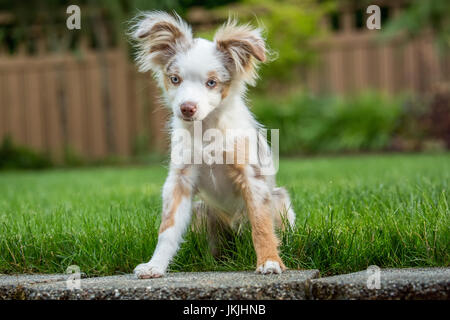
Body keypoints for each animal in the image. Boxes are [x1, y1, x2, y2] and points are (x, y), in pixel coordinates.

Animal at [129, 11, 296, 278]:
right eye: (175, 79)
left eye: (211, 83)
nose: (186, 108)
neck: (206, 130)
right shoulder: (180, 180)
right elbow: (167, 229)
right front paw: (155, 265)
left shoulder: (252, 177)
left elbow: (261, 225)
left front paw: (269, 261)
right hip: (201, 212)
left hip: (280, 200)